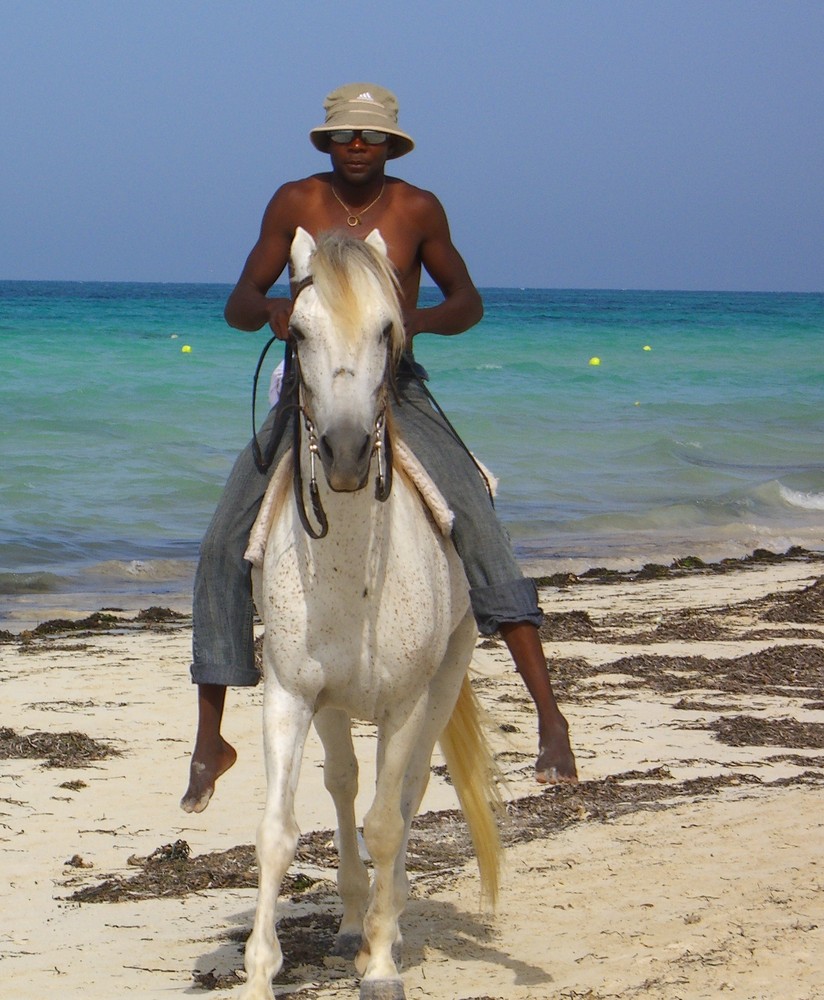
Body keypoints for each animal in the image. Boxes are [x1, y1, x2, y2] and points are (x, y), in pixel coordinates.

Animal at [240, 229, 502, 1000]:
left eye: (389, 329)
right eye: (297, 332)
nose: (349, 452)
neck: (352, 570)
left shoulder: (407, 701)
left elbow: (386, 822)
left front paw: (382, 966)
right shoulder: (290, 694)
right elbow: (278, 832)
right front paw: (259, 972)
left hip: (445, 679)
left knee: (407, 791)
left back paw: (390, 924)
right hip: (331, 707)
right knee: (344, 782)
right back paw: (354, 924)